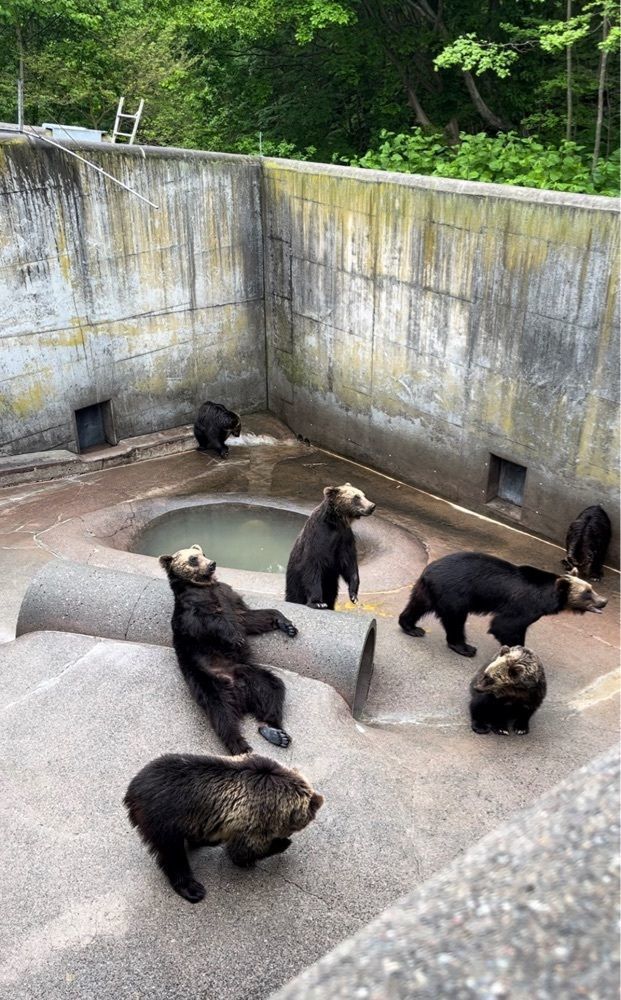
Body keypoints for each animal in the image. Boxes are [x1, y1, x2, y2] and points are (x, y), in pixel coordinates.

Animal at [124, 752, 324, 903]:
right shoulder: (250, 820)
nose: (287, 835)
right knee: (172, 855)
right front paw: (279, 845)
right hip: (162, 820)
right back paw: (192, 888)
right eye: (301, 824)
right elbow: (242, 851)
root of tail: (131, 790)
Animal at [159, 544, 298, 754]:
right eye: (193, 559)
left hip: (251, 675)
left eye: (203, 553)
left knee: (273, 689)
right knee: (221, 713)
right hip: (207, 681)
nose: (212, 564)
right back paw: (241, 746)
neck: (204, 585)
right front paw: (236, 638)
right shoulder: (191, 609)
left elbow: (249, 617)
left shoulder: (228, 596)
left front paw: (287, 624)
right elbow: (209, 622)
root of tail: (241, 694)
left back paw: (275, 732)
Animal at [398, 551, 608, 656]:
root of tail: (429, 570)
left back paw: (412, 627)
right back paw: (465, 647)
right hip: (454, 594)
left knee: (417, 605)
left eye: (591, 589)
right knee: (455, 620)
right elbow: (506, 626)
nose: (604, 601)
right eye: (587, 593)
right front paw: (519, 649)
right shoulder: (525, 605)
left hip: (427, 590)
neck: (548, 596)